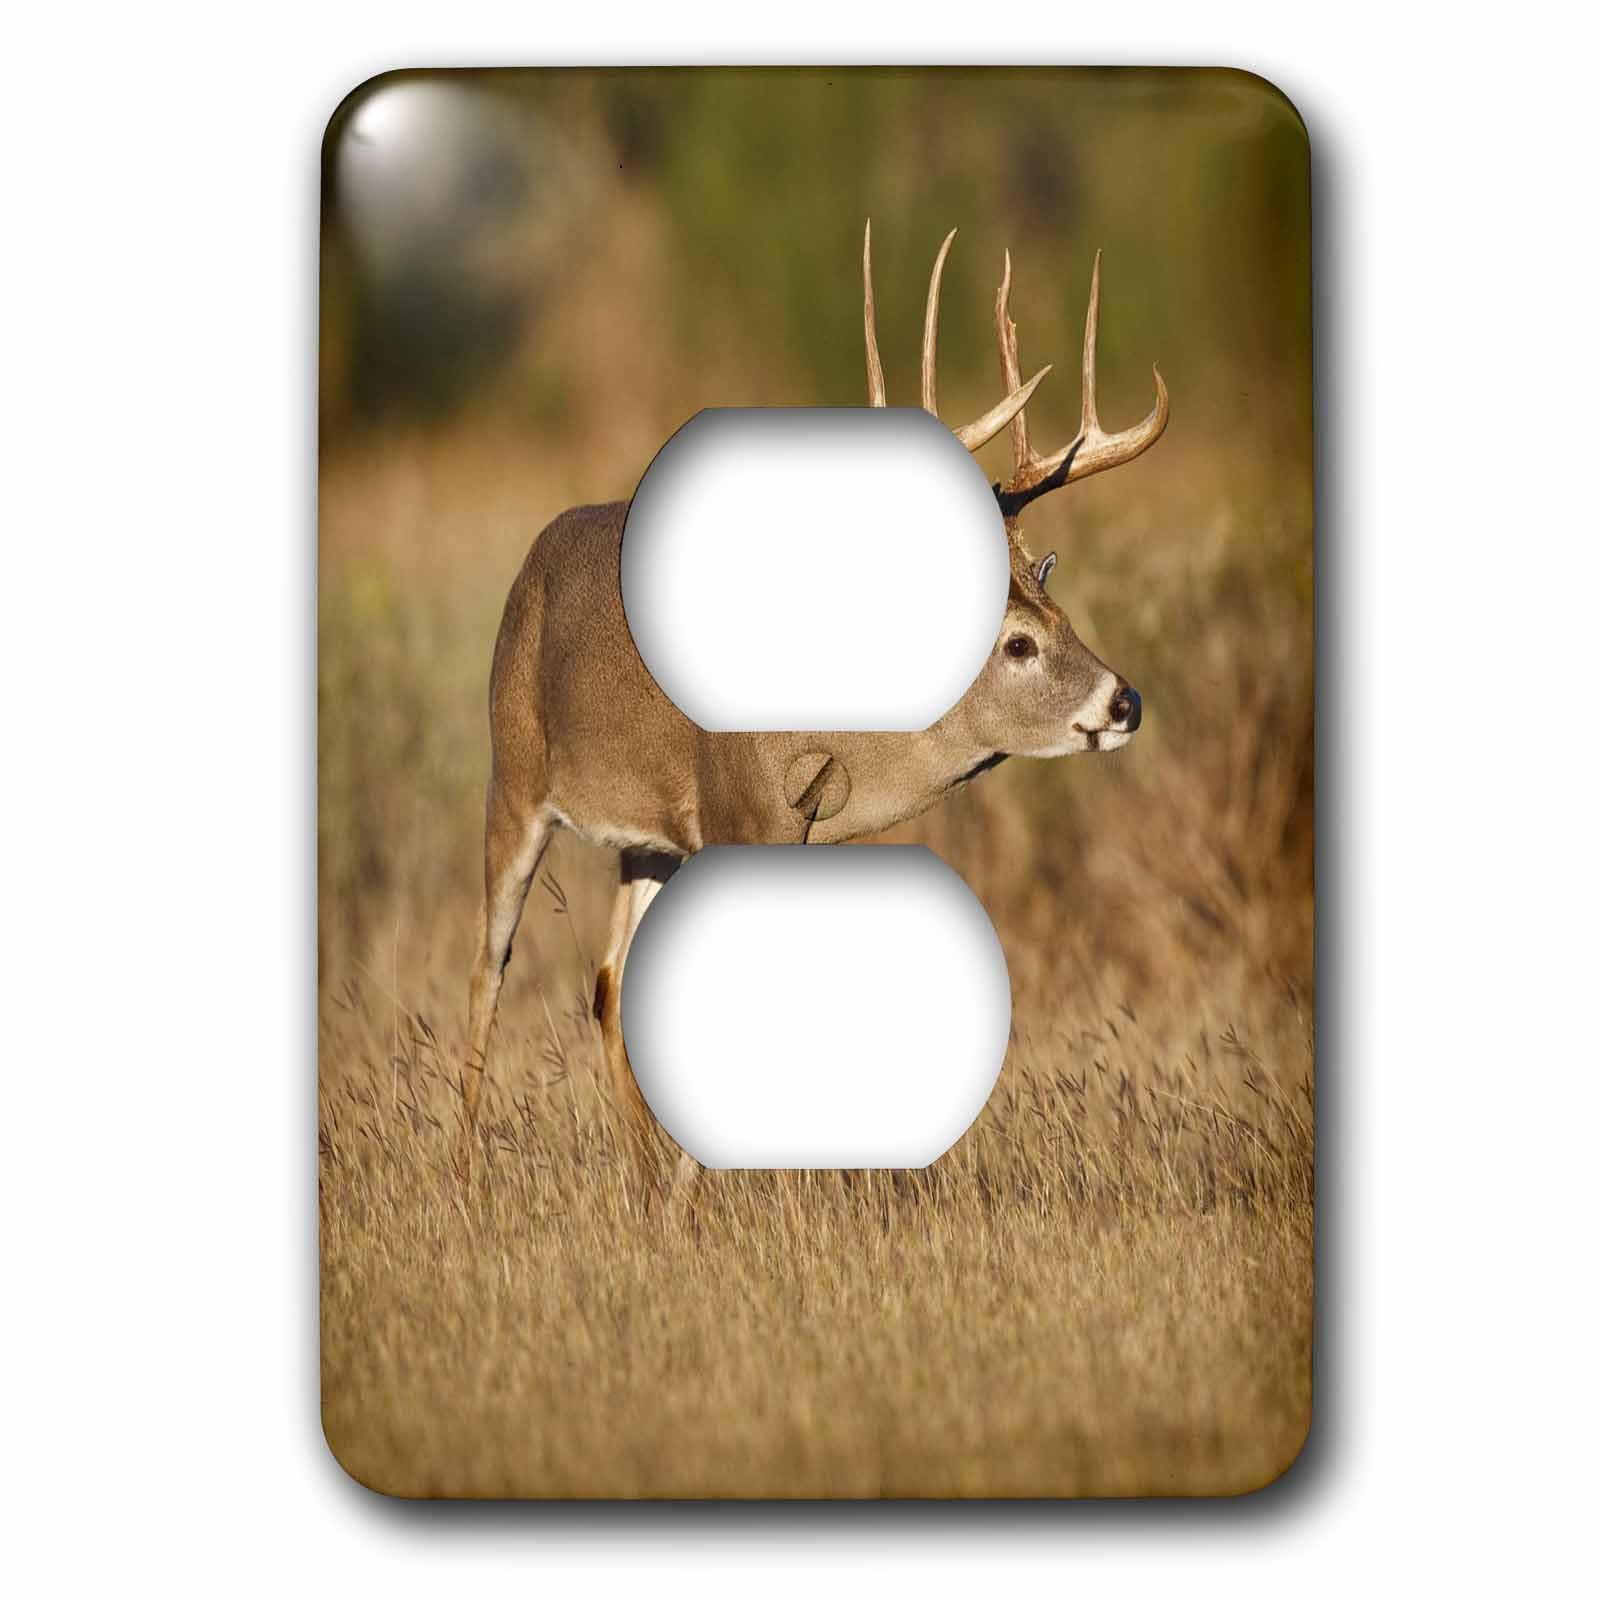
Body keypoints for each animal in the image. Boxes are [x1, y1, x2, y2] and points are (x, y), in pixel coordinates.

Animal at [461, 222, 1169, 1188]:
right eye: (1018, 643)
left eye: (1060, 608)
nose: (1125, 699)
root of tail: (529, 561)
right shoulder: (740, 818)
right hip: (515, 775)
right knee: (488, 963)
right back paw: (460, 1166)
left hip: (649, 841)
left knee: (607, 984)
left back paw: (642, 1179)